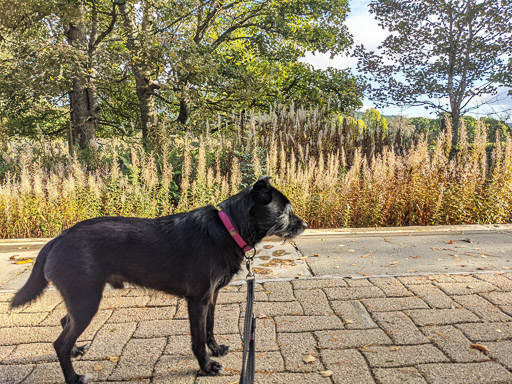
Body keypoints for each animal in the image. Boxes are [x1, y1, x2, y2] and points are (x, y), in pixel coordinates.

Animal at [12, 176, 306, 382]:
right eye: (286, 211)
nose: (304, 225)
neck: (227, 227)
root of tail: (58, 238)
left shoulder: (211, 297)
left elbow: (209, 328)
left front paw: (215, 349)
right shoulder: (197, 301)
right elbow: (197, 337)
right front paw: (206, 366)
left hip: (80, 300)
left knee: (65, 324)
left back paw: (75, 352)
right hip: (86, 300)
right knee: (59, 343)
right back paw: (73, 376)